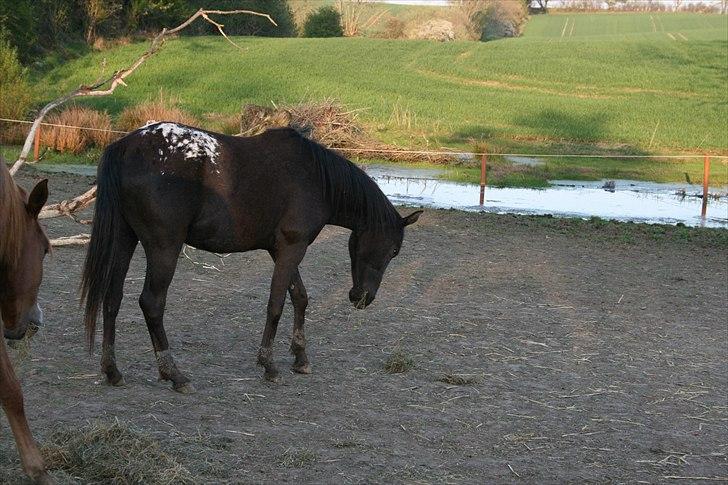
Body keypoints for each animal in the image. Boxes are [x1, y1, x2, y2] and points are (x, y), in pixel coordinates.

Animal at [81, 122, 420, 394]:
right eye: (393, 250)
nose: (363, 298)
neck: (315, 179)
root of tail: (126, 146)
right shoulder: (292, 248)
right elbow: (276, 305)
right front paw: (269, 364)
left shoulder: (280, 250)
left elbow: (300, 298)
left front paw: (300, 358)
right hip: (164, 247)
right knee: (151, 303)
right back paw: (174, 374)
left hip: (125, 239)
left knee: (112, 298)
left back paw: (112, 371)